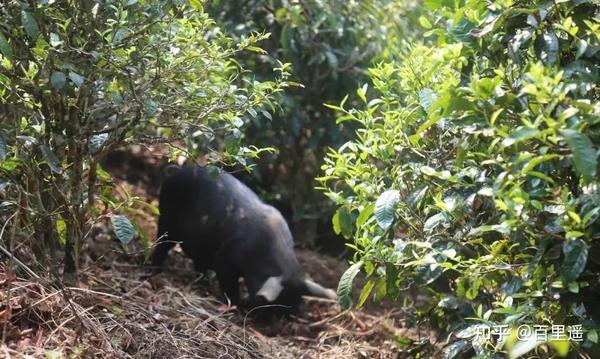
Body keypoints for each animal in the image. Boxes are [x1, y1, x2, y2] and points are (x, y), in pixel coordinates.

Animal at [150, 166, 338, 310]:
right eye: (272, 309)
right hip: (166, 217)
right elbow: (228, 280)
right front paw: (236, 305)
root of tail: (175, 172)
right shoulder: (225, 257)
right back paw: (155, 271)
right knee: (161, 246)